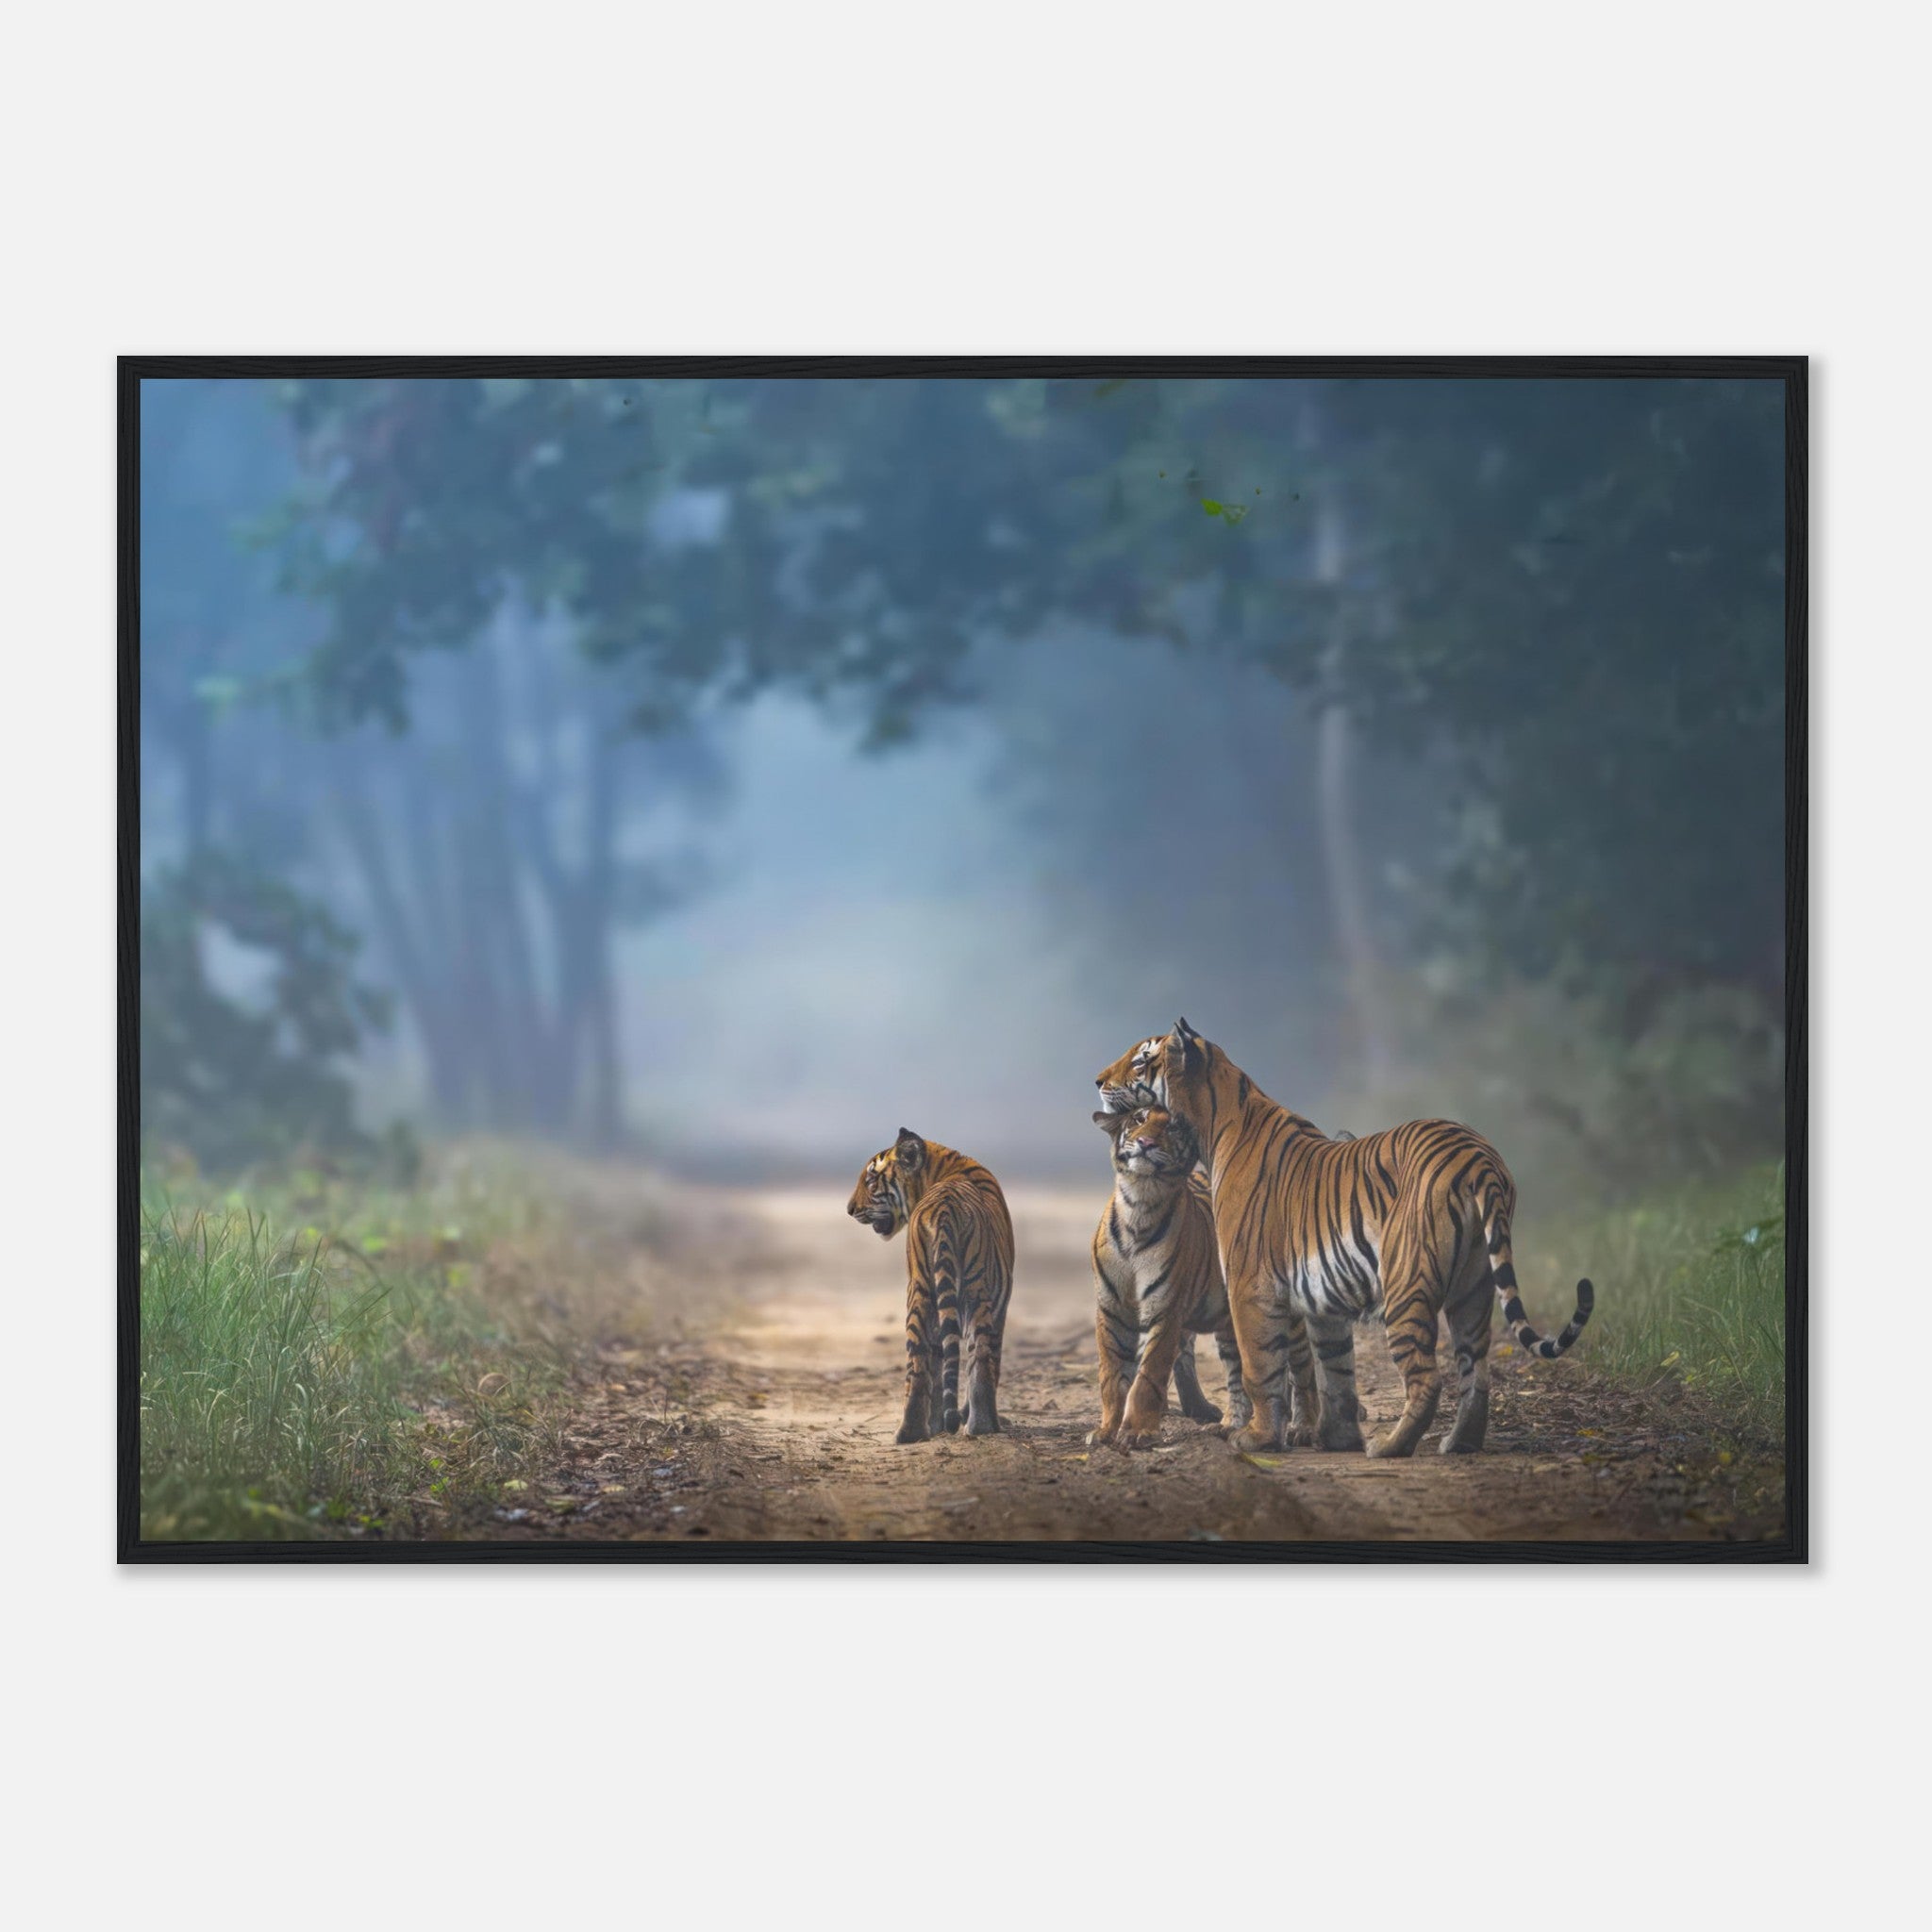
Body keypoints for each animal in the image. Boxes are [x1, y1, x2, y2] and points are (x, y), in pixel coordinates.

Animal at [847, 1127, 1014, 1443]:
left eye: (871, 1181)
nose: (850, 1210)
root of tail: (944, 1208)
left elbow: (940, 1362)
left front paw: (939, 1424)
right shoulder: (1001, 1306)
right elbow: (990, 1361)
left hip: (921, 1291)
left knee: (920, 1361)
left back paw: (911, 1432)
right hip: (973, 1290)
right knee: (977, 1357)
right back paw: (982, 1425)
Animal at [1089, 1104, 1261, 1449]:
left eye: (1173, 1128)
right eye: (1139, 1119)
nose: (1146, 1143)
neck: (1139, 1204)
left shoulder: (1164, 1311)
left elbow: (1149, 1375)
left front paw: (1137, 1431)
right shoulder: (1111, 1310)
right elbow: (1112, 1375)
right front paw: (1106, 1430)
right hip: (1228, 1326)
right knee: (1237, 1373)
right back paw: (1228, 1425)